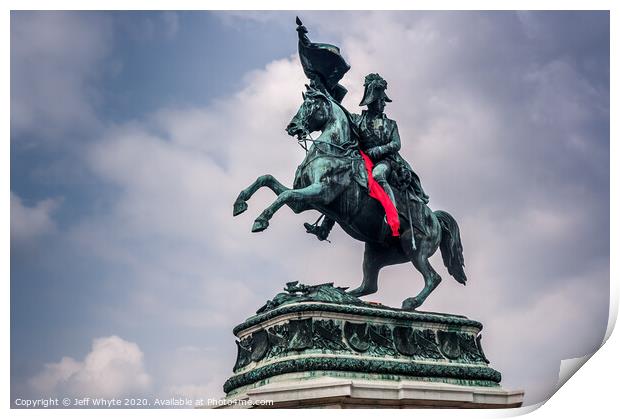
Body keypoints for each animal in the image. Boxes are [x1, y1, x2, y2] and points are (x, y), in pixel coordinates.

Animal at [232, 85, 464, 310]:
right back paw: (336, 295)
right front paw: (240, 203)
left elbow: (285, 193)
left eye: (310, 105)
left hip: (415, 248)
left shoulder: (321, 192)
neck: (333, 151)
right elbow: (267, 180)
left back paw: (410, 302)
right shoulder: (303, 203)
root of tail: (434, 218)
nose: (292, 127)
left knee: (433, 277)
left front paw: (260, 220)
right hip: (376, 253)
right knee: (369, 286)